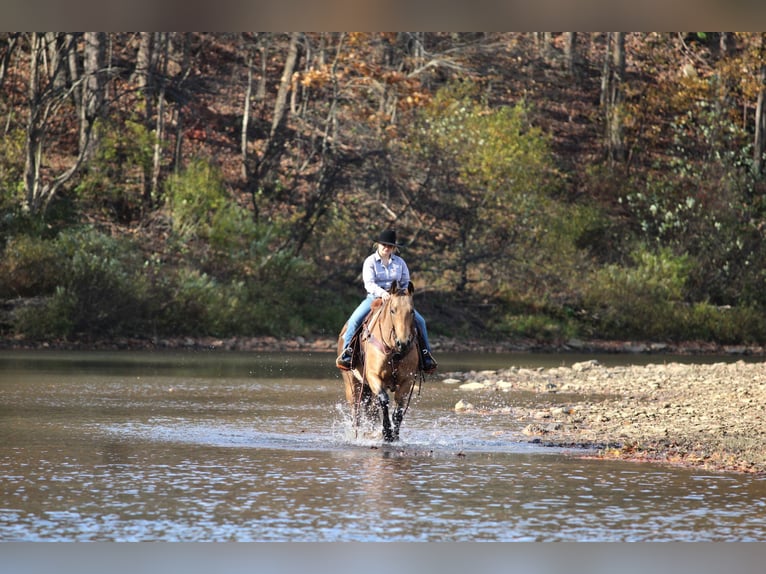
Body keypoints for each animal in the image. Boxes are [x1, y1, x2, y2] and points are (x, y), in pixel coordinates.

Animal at [337, 281, 423, 442]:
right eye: (393, 310)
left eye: (412, 311)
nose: (404, 343)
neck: (394, 350)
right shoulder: (373, 376)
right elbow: (384, 400)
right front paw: (387, 432)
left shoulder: (407, 381)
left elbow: (398, 410)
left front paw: (394, 435)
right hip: (352, 383)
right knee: (356, 411)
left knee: (371, 409)